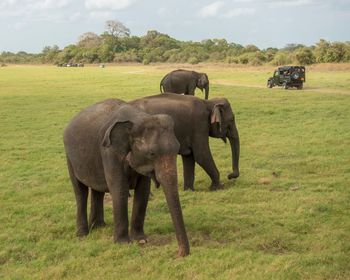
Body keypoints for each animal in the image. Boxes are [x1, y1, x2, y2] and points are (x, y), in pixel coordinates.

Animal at [63, 98, 189, 256]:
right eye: (151, 153)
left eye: (177, 149)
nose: (179, 253)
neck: (138, 118)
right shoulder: (109, 151)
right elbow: (119, 189)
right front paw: (123, 243)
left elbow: (143, 191)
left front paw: (141, 240)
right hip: (70, 158)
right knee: (80, 191)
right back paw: (82, 234)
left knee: (97, 191)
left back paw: (98, 226)